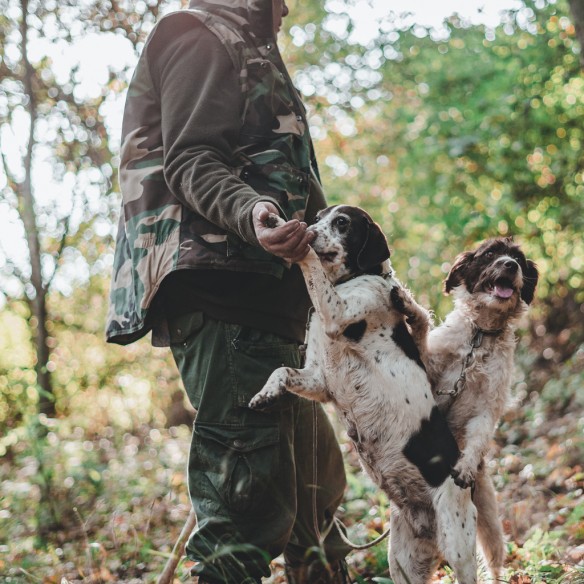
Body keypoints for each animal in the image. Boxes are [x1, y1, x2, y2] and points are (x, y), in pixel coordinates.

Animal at [251, 205, 480, 584]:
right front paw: (265, 393)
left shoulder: (337, 311)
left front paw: (293, 238)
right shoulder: (318, 380)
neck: (349, 280)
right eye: (317, 216)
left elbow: (309, 260)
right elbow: (281, 371)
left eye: (342, 223)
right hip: (401, 561)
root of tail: (425, 524)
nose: (307, 227)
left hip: (457, 544)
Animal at [424, 238, 540, 580]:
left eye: (518, 259)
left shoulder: (487, 409)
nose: (509, 265)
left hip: (489, 522)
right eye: (490, 254)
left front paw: (464, 466)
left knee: (494, 560)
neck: (479, 338)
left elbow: (477, 437)